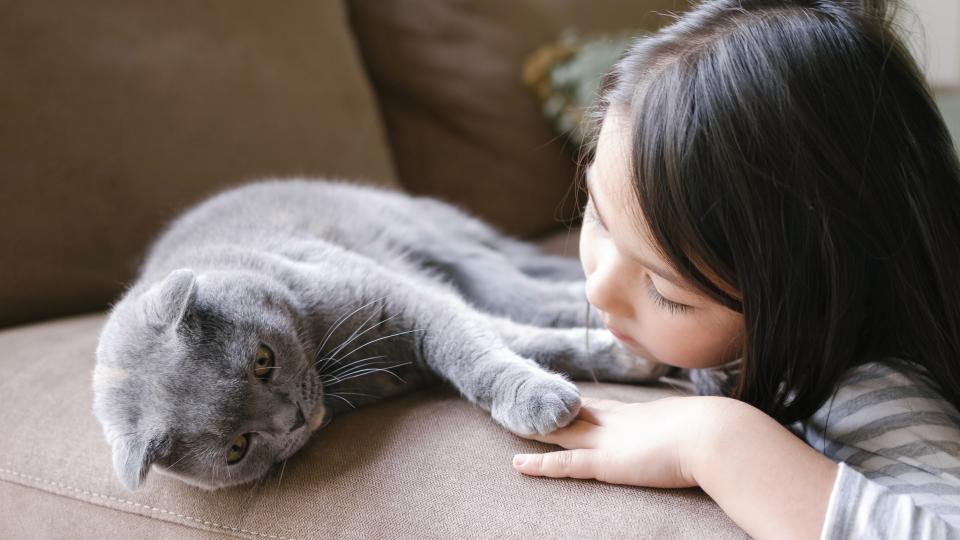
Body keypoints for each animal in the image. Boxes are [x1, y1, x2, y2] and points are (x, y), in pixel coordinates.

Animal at [92, 179, 668, 492]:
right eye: (237, 448)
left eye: (262, 360)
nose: (295, 418)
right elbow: (511, 339)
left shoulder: (405, 297)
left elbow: (477, 352)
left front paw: (544, 396)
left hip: (455, 248)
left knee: (534, 291)